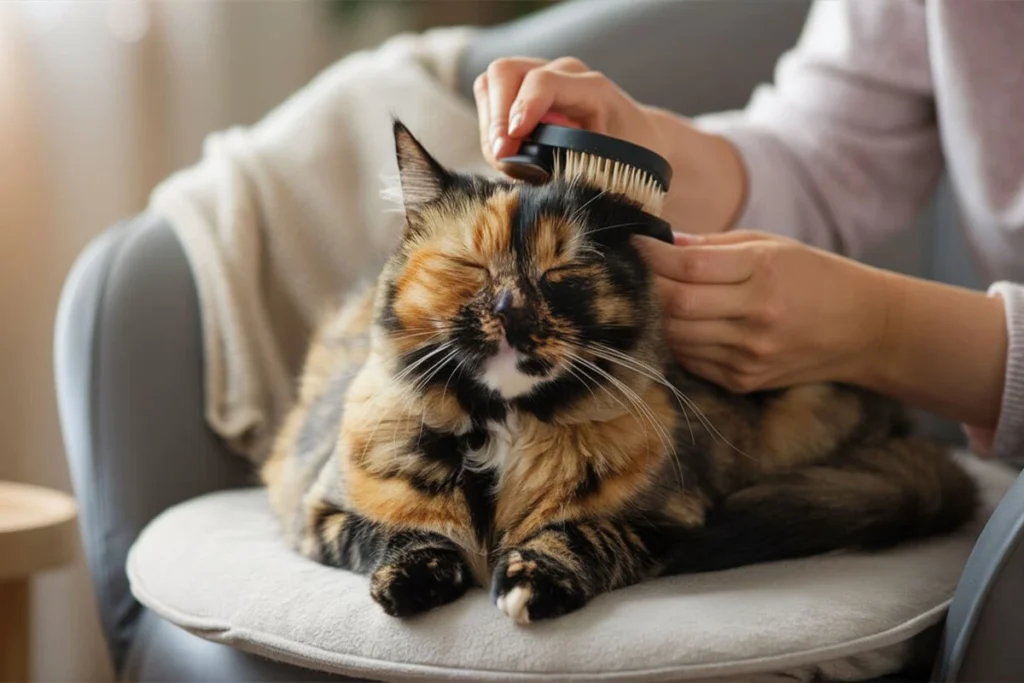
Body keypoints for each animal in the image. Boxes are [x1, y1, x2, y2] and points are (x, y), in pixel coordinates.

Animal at [260, 118, 978, 626]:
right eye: (471, 268)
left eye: (560, 273)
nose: (509, 310)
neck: (501, 433)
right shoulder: (316, 510)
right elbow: (395, 533)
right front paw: (413, 581)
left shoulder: (670, 520)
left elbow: (584, 536)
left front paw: (530, 581)